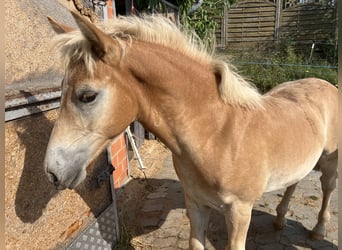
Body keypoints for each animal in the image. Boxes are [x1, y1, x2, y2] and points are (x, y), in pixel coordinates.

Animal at [44, 12, 336, 250]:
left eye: (87, 96)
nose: (52, 172)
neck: (217, 135)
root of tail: (325, 83)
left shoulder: (239, 212)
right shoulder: (195, 203)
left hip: (331, 161)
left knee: (328, 187)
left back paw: (318, 231)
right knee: (295, 180)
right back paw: (280, 219)